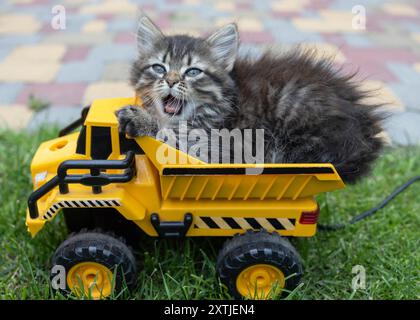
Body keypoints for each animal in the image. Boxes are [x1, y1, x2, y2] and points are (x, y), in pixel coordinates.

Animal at [116, 16, 386, 184]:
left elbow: (172, 138)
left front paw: (141, 120)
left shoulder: (218, 148)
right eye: (158, 68)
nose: (171, 81)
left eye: (193, 72)